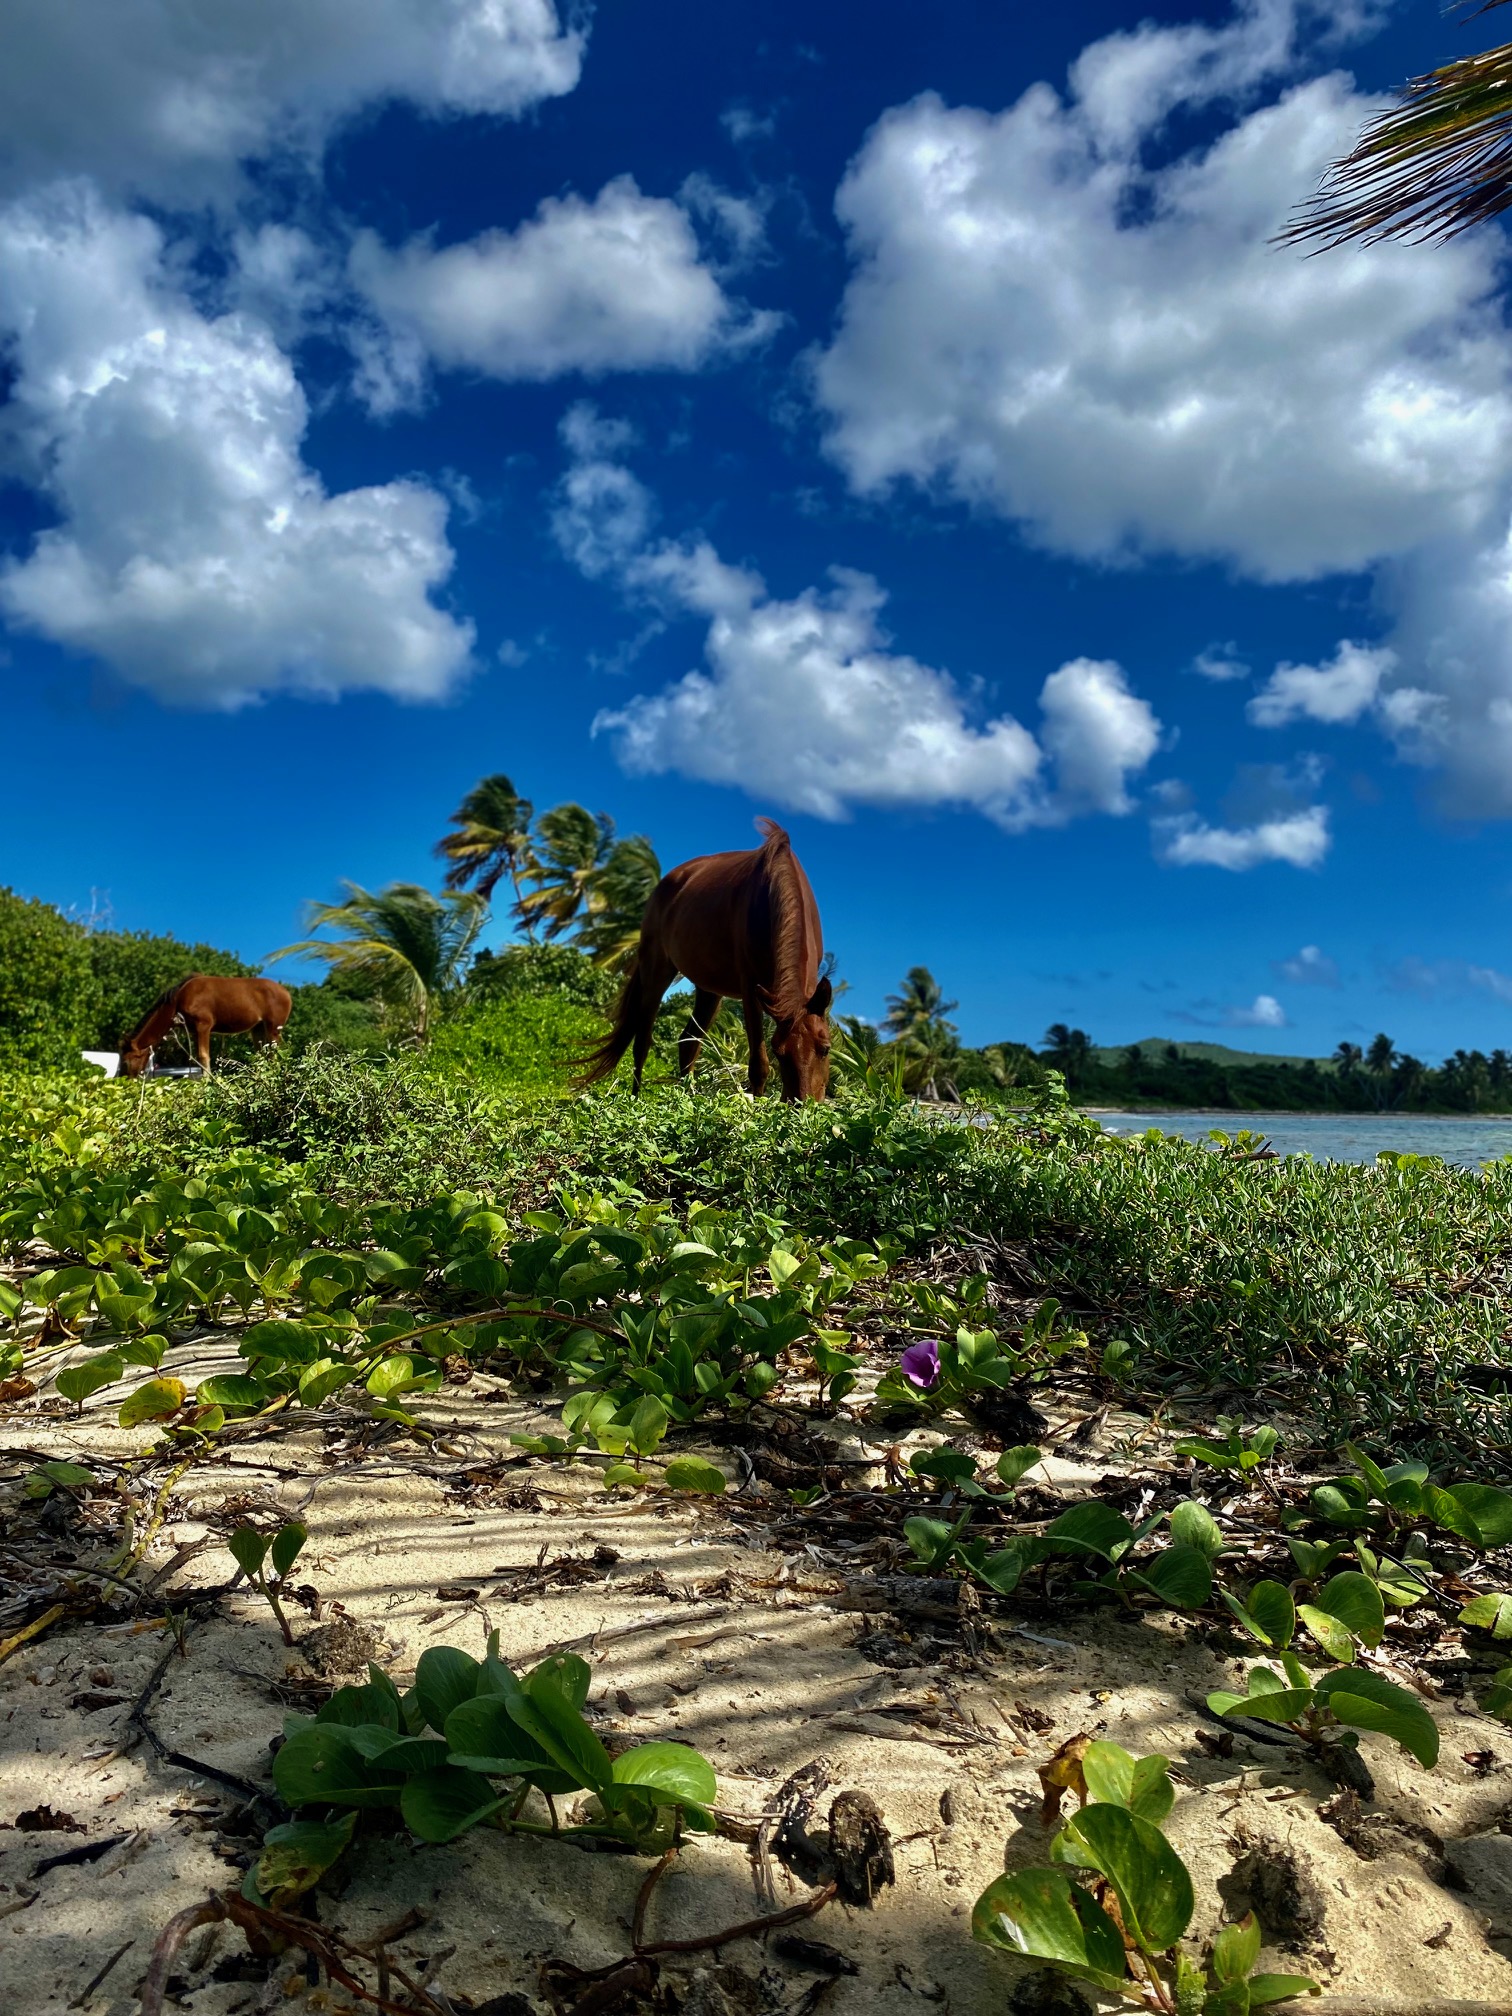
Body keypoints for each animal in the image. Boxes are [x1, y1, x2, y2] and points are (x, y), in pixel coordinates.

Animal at [119, 974, 293, 1077]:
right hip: (258, 1029)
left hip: (273, 1028)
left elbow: (203, 1057)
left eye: (128, 1060)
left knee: (278, 1052)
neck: (179, 998)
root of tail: (286, 993)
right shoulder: (194, 1031)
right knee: (264, 1055)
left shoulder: (203, 1026)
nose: (128, 1081)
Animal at [579, 819, 833, 1101]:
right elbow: (759, 1065)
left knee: (688, 1041)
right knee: (642, 1041)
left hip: (709, 990)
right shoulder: (750, 988)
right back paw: (636, 1099)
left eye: (825, 1048)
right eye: (779, 1051)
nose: (802, 1103)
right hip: (657, 969)